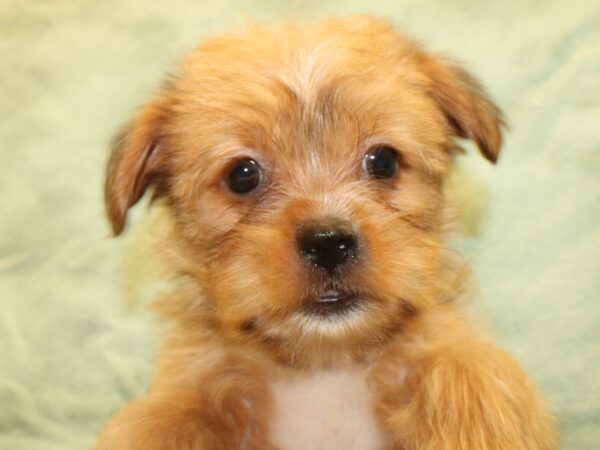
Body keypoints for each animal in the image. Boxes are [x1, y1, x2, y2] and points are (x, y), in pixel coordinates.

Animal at [95, 16, 556, 450]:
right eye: (242, 175)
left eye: (384, 160)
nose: (329, 242)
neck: (327, 365)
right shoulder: (197, 383)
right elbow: (159, 421)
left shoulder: (442, 351)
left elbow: (471, 377)